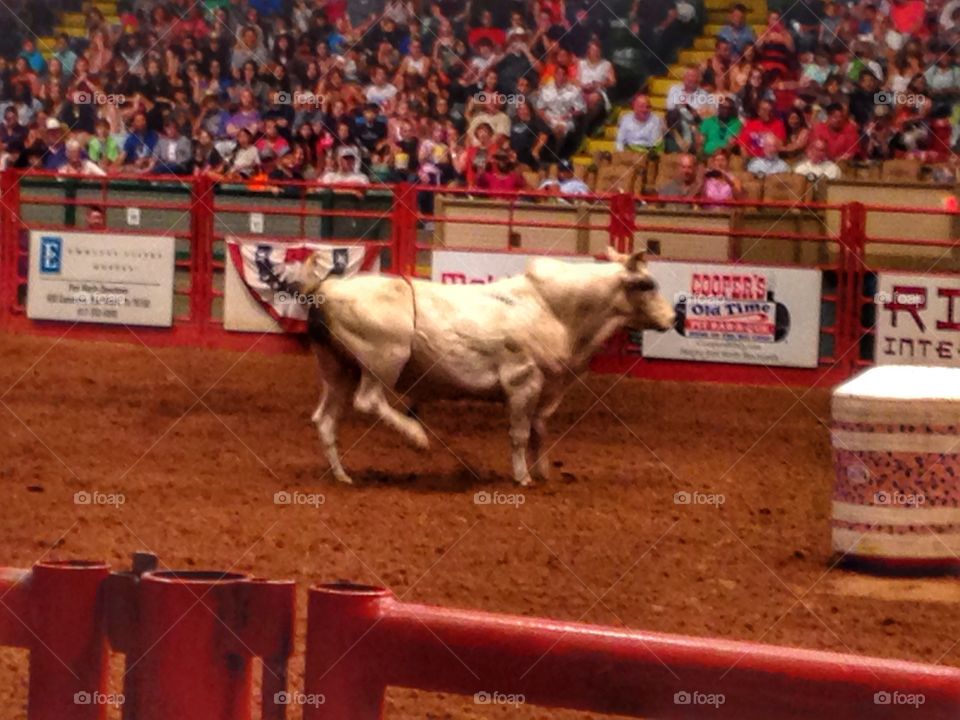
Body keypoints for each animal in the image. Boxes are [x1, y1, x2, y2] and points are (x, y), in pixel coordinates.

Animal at [298, 248, 676, 486]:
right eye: (647, 284)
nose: (673, 318)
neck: (552, 309)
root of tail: (326, 287)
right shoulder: (523, 381)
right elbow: (520, 434)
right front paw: (523, 477)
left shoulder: (546, 388)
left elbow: (539, 430)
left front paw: (543, 472)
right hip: (383, 360)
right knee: (369, 401)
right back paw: (417, 438)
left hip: (339, 370)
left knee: (325, 420)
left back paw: (342, 475)